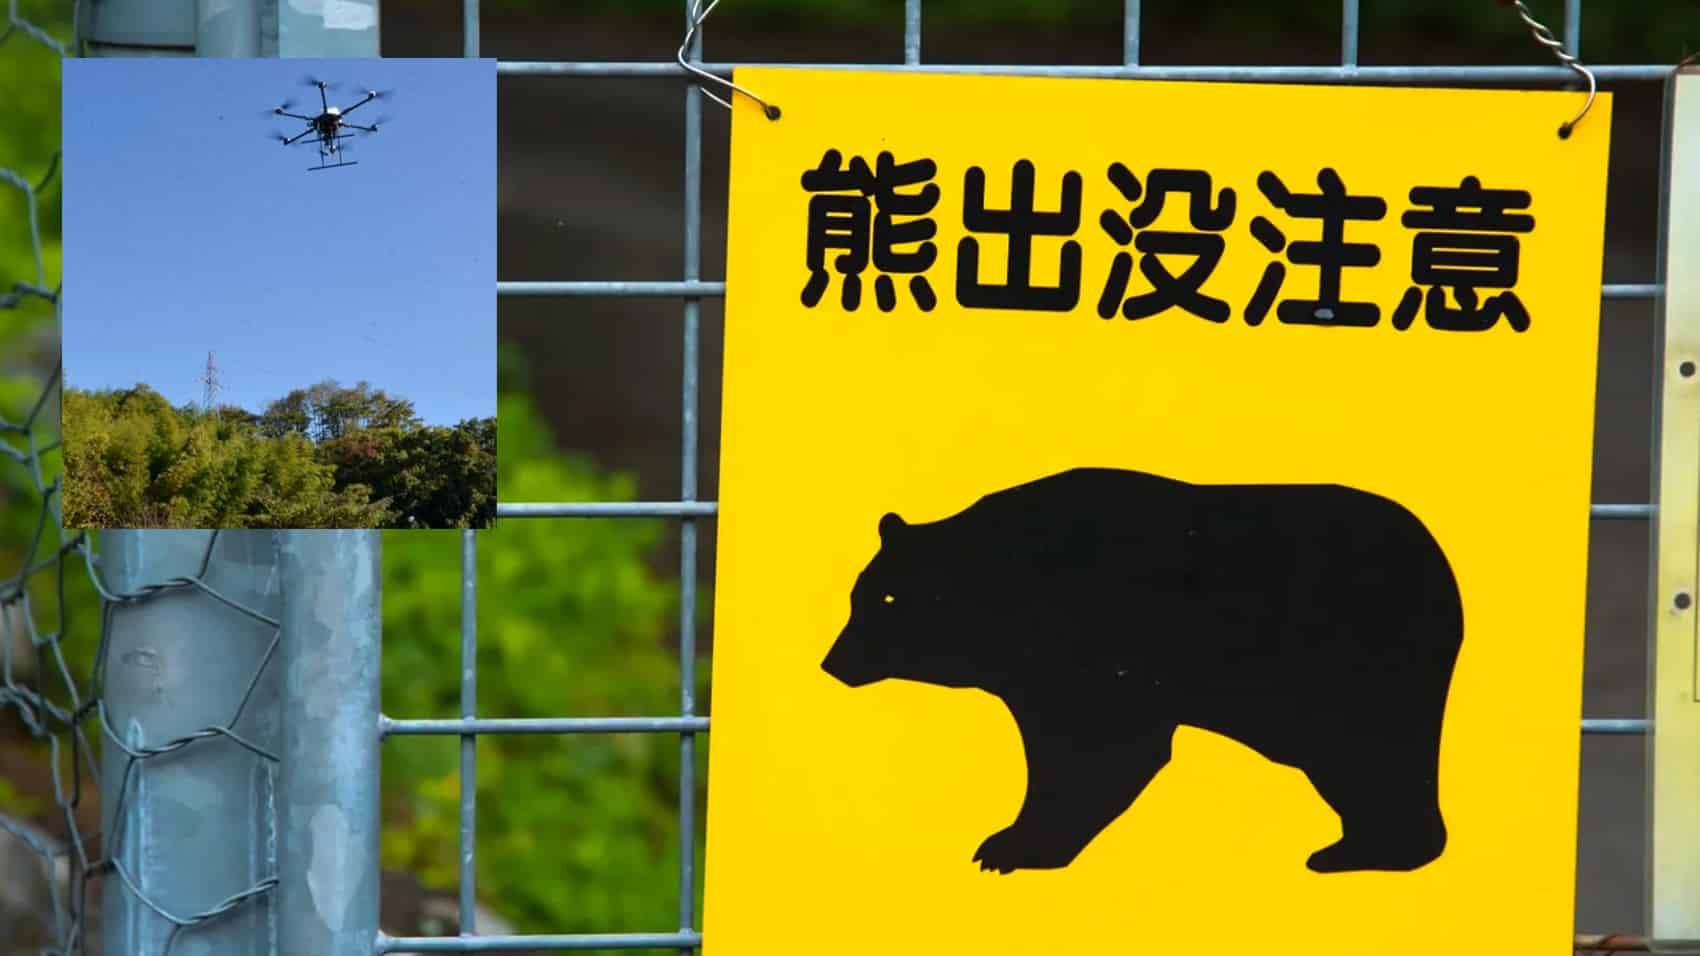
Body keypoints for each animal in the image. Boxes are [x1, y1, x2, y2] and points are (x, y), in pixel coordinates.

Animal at [820, 466, 1463, 876]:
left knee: (1374, 755)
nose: (832, 661)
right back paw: (1355, 848)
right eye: (858, 596)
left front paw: (1011, 847)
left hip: (1361, 664)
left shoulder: (1097, 647)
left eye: (886, 599)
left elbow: (1102, 747)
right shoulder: (1033, 674)